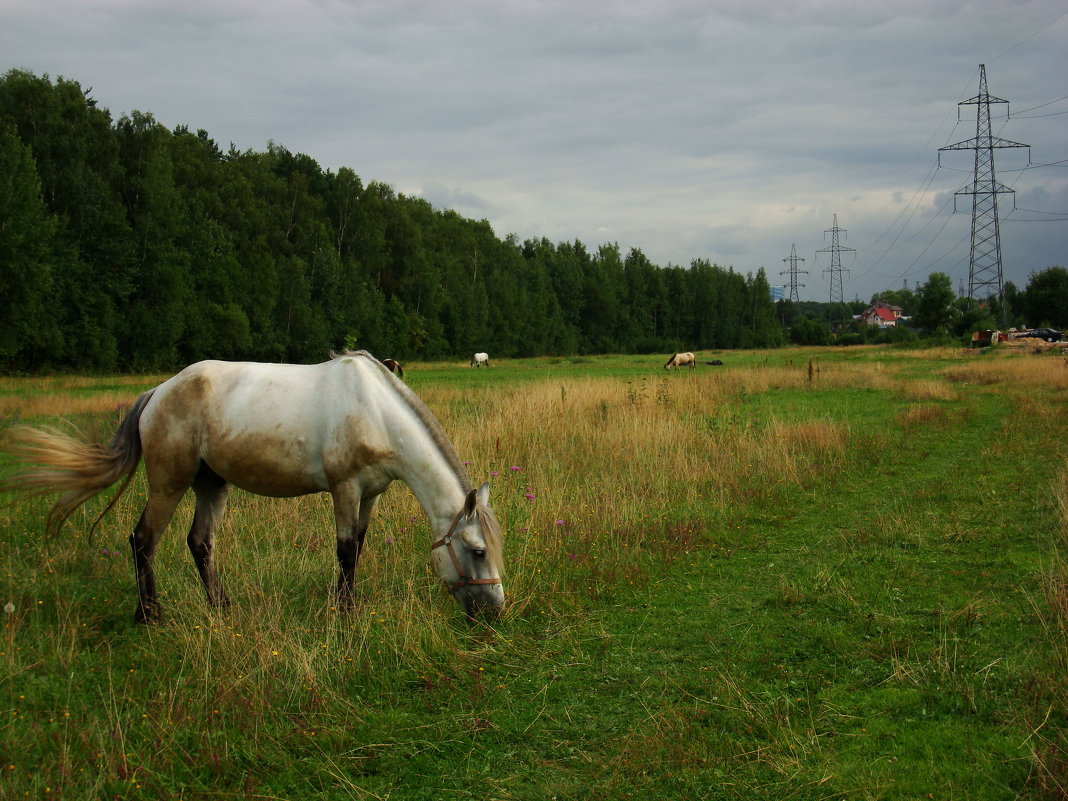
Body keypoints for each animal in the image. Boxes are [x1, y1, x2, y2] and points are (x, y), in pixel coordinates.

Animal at [0, 354, 504, 623]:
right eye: (477, 550)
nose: (495, 610)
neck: (376, 412)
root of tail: (158, 392)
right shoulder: (344, 489)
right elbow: (344, 550)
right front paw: (344, 611)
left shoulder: (370, 495)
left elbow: (358, 547)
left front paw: (347, 603)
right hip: (169, 483)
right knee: (143, 540)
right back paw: (149, 615)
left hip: (210, 484)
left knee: (200, 543)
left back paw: (221, 607)